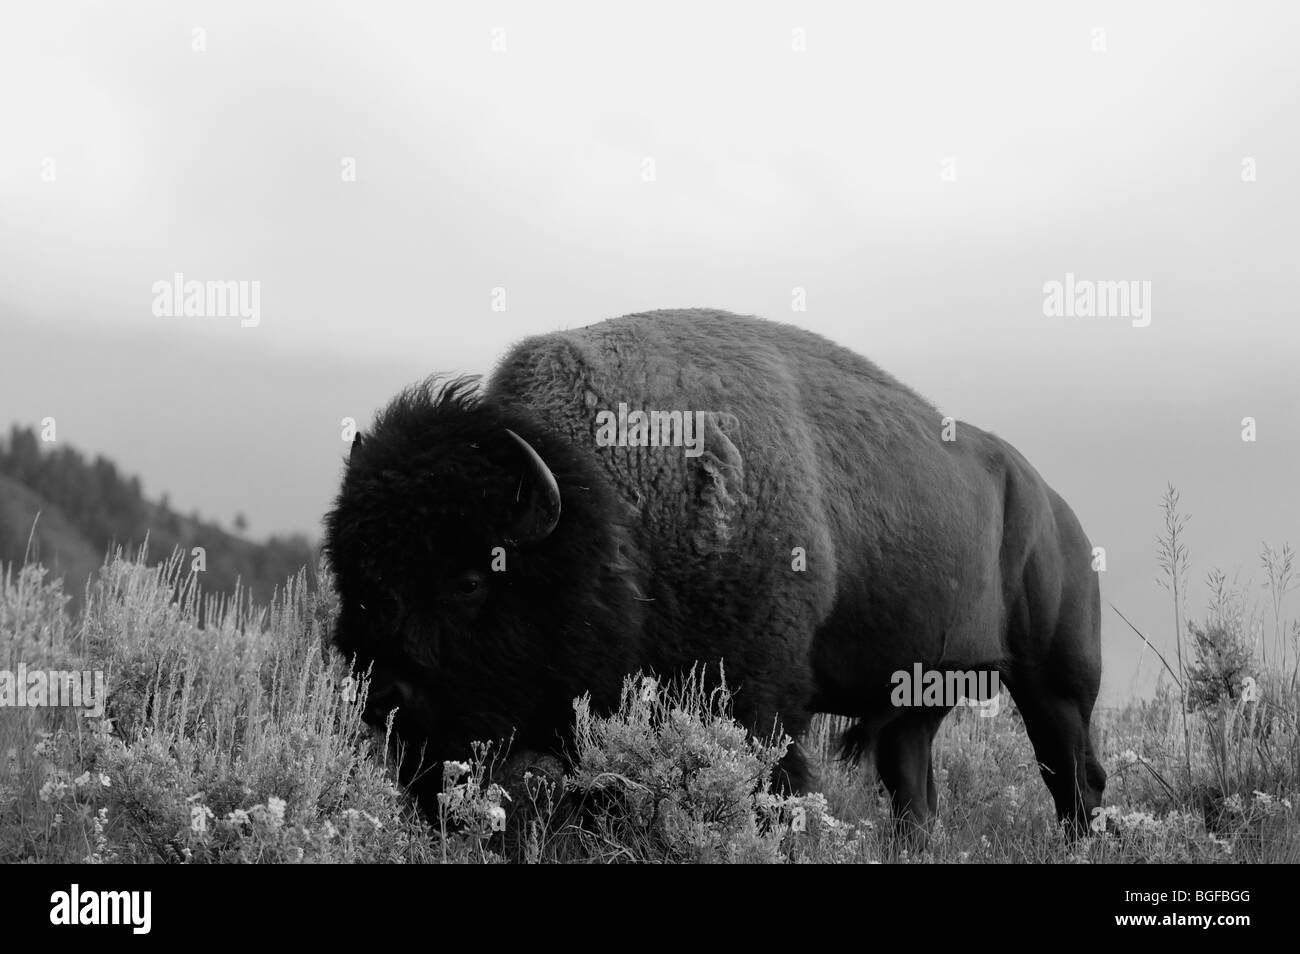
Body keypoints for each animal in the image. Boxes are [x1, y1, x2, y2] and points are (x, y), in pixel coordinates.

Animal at [324, 308, 1105, 834]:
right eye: (354, 583)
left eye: (468, 581)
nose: (382, 697)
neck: (608, 502)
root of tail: (1056, 507)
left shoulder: (759, 698)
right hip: (921, 702)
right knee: (915, 790)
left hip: (1057, 685)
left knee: (1077, 780)